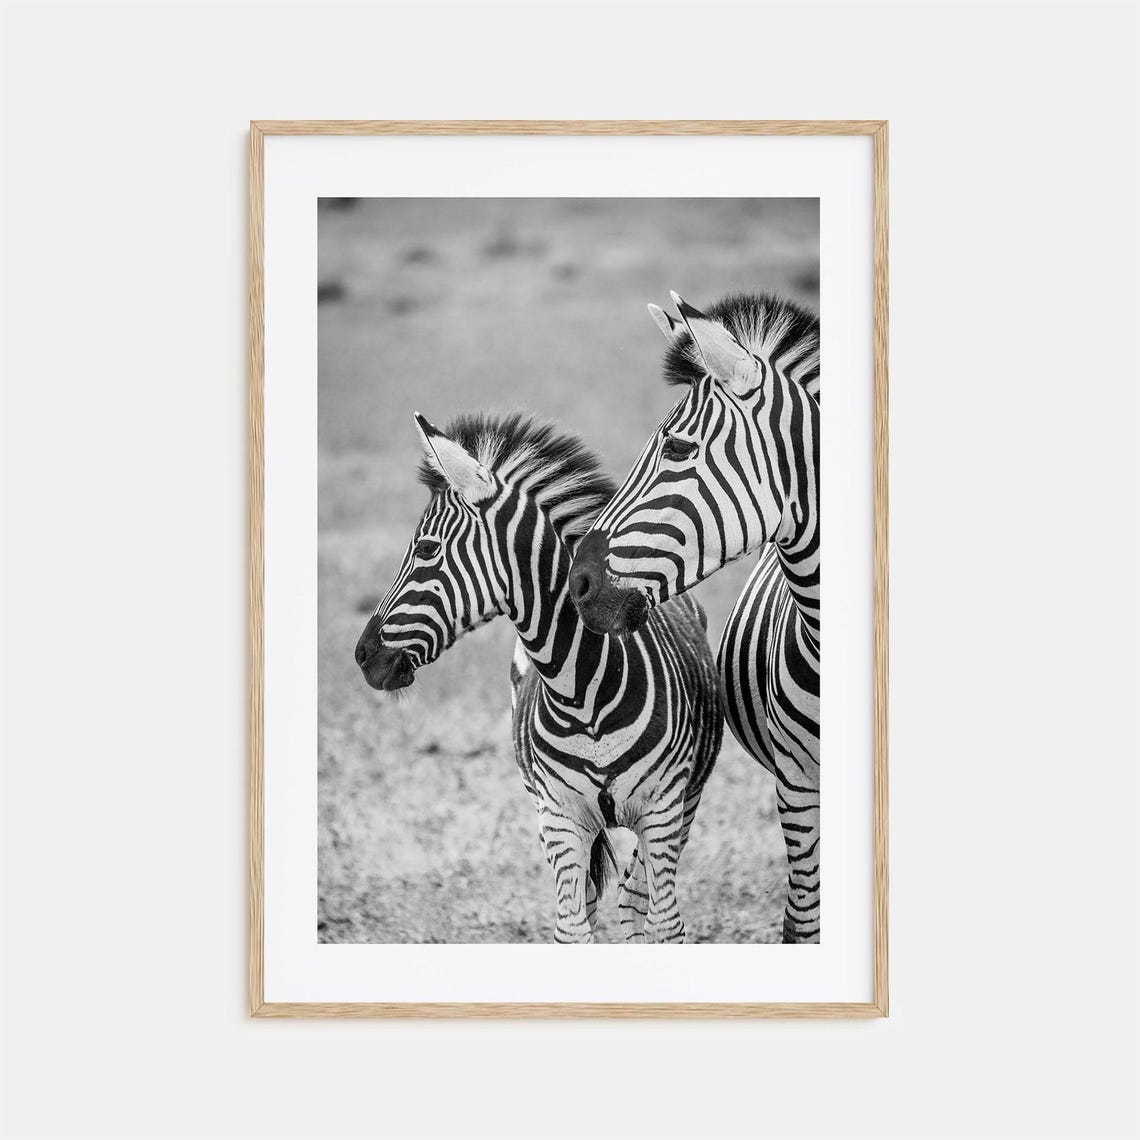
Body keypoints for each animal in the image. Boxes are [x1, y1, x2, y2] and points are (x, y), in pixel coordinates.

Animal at [354, 410, 724, 943]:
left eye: (425, 549)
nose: (363, 655)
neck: (584, 693)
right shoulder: (560, 818)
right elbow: (571, 929)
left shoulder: (663, 811)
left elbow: (665, 923)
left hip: (683, 806)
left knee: (636, 900)